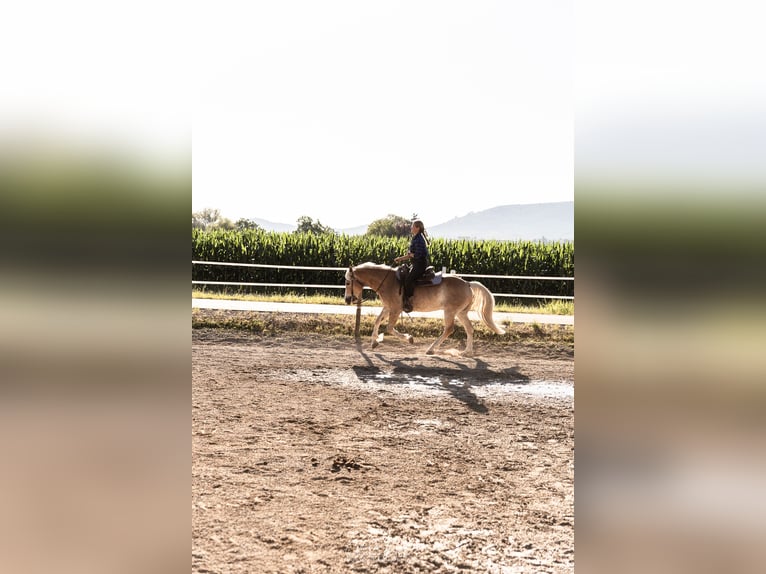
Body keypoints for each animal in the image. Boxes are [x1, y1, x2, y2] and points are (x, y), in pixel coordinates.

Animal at [344, 262, 506, 356]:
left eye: (347, 282)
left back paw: (432, 349)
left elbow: (389, 328)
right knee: (469, 329)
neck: (388, 281)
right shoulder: (388, 307)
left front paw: (409, 338)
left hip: (450, 311)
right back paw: (467, 351)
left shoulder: (395, 309)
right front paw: (374, 341)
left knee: (449, 329)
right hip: (461, 313)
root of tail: (467, 283)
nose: (347, 299)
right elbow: (377, 321)